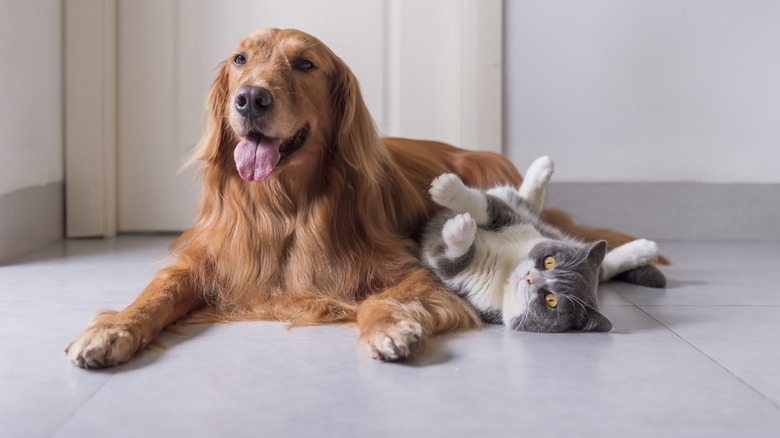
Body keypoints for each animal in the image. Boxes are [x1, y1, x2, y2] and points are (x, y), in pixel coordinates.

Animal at [420, 157, 664, 332]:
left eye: (551, 300)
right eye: (549, 261)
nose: (530, 277)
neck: (505, 270)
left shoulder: (466, 287)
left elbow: (450, 260)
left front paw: (459, 228)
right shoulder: (511, 219)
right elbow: (486, 206)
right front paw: (448, 189)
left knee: (605, 268)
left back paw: (646, 249)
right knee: (522, 200)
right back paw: (542, 167)